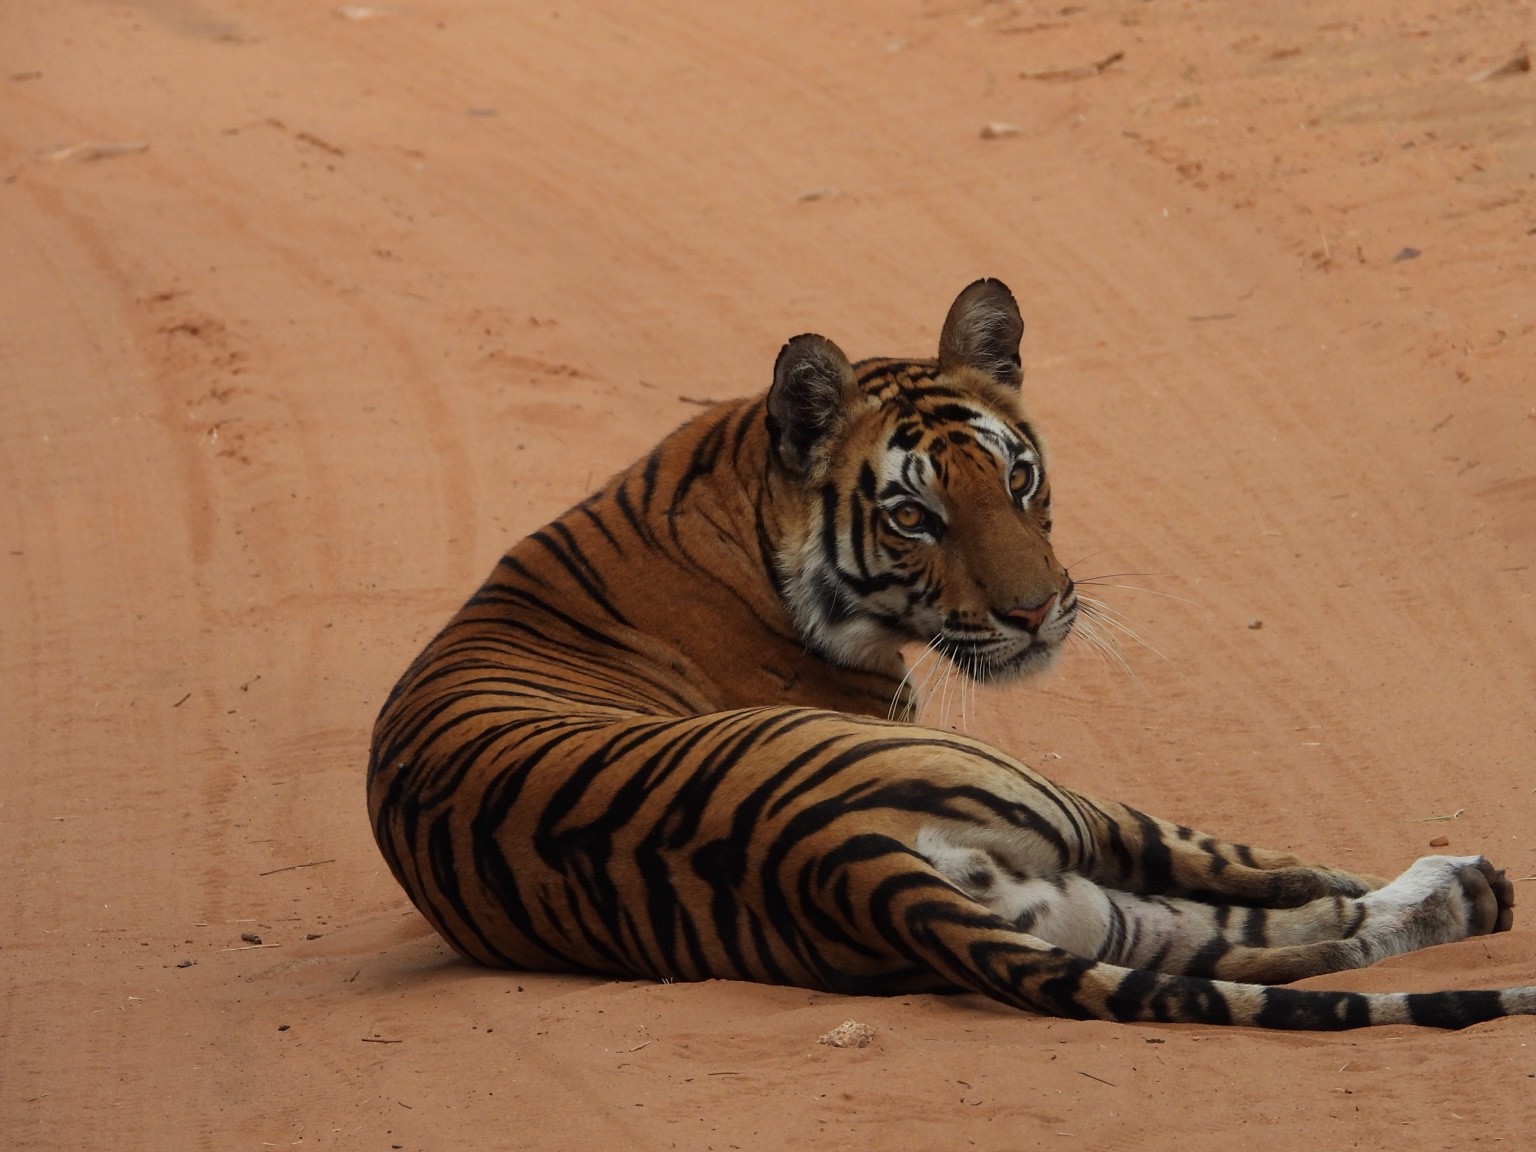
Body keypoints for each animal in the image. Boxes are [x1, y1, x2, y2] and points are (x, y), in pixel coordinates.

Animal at [368, 278, 1535, 1030]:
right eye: (914, 518)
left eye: (1017, 479)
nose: (1039, 612)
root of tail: (834, 860)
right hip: (1062, 805)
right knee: (1286, 892)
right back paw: (1468, 882)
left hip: (1072, 909)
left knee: (1279, 940)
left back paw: (1463, 897)